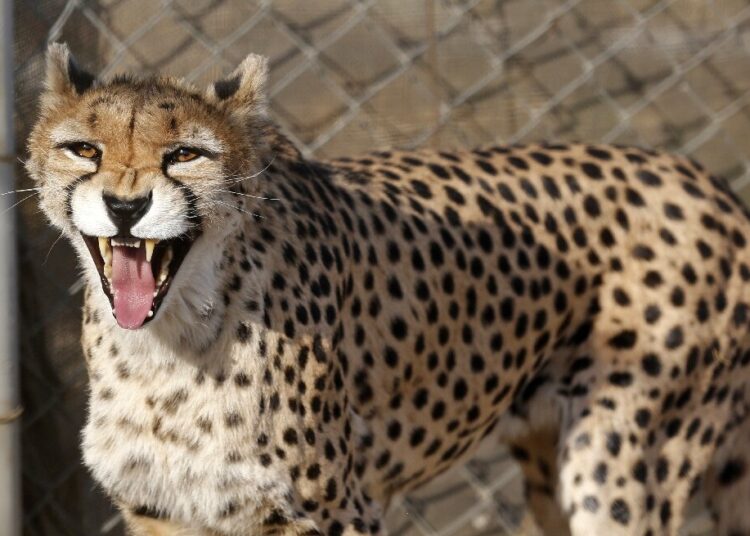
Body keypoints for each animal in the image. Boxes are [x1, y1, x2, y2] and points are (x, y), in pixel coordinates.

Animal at [25, 42, 750, 536]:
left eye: (185, 155)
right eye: (84, 149)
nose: (125, 207)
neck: (167, 344)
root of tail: (707, 182)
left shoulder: (334, 511)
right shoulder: (164, 513)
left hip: (621, 468)